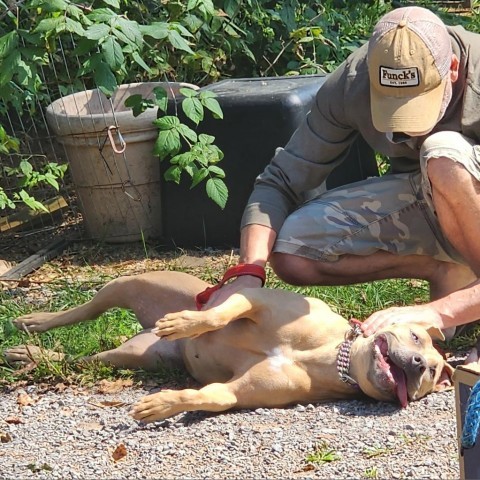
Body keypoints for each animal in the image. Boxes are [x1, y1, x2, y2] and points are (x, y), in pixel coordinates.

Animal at [4, 272, 454, 422]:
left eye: (431, 373)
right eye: (416, 339)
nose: (417, 364)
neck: (333, 356)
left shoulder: (235, 392)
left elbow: (208, 396)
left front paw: (161, 405)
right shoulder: (256, 301)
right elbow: (222, 313)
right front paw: (188, 323)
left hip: (133, 356)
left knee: (81, 358)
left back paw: (29, 354)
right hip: (130, 284)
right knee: (84, 308)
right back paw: (34, 322)